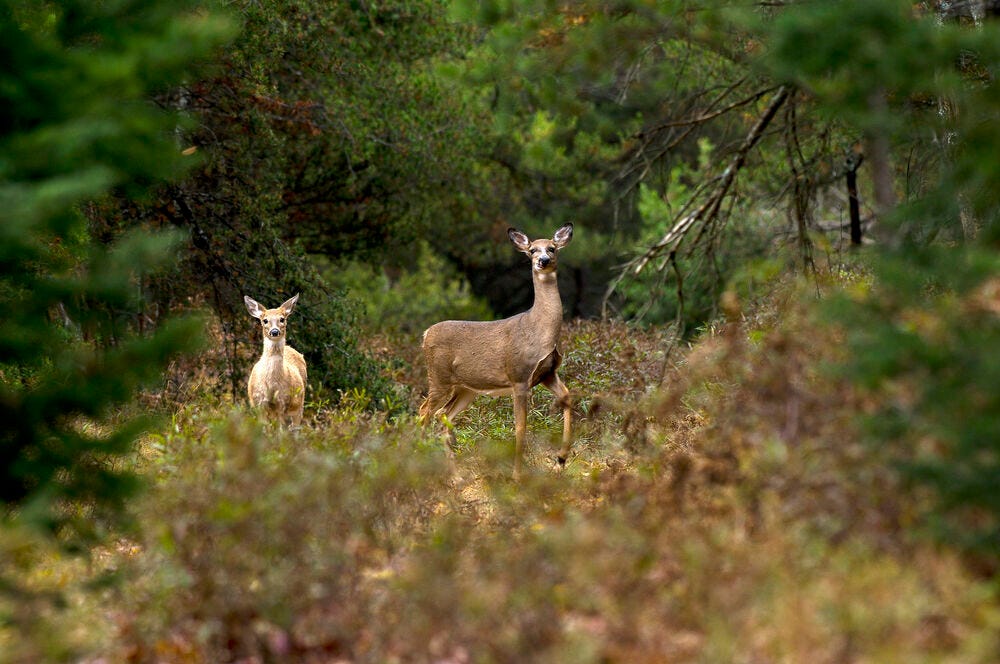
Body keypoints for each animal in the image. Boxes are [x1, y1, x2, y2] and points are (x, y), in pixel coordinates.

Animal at [244, 294, 306, 428]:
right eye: (265, 320)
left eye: (282, 319)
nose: (274, 331)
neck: (271, 385)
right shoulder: (259, 402)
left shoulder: (282, 402)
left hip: (299, 405)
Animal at [420, 223, 576, 478]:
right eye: (532, 250)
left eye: (552, 248)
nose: (542, 260)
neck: (539, 330)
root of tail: (425, 334)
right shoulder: (519, 375)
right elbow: (521, 427)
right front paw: (517, 476)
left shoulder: (547, 373)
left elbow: (567, 396)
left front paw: (560, 460)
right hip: (438, 377)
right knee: (423, 412)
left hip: (466, 388)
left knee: (442, 414)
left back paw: (456, 476)